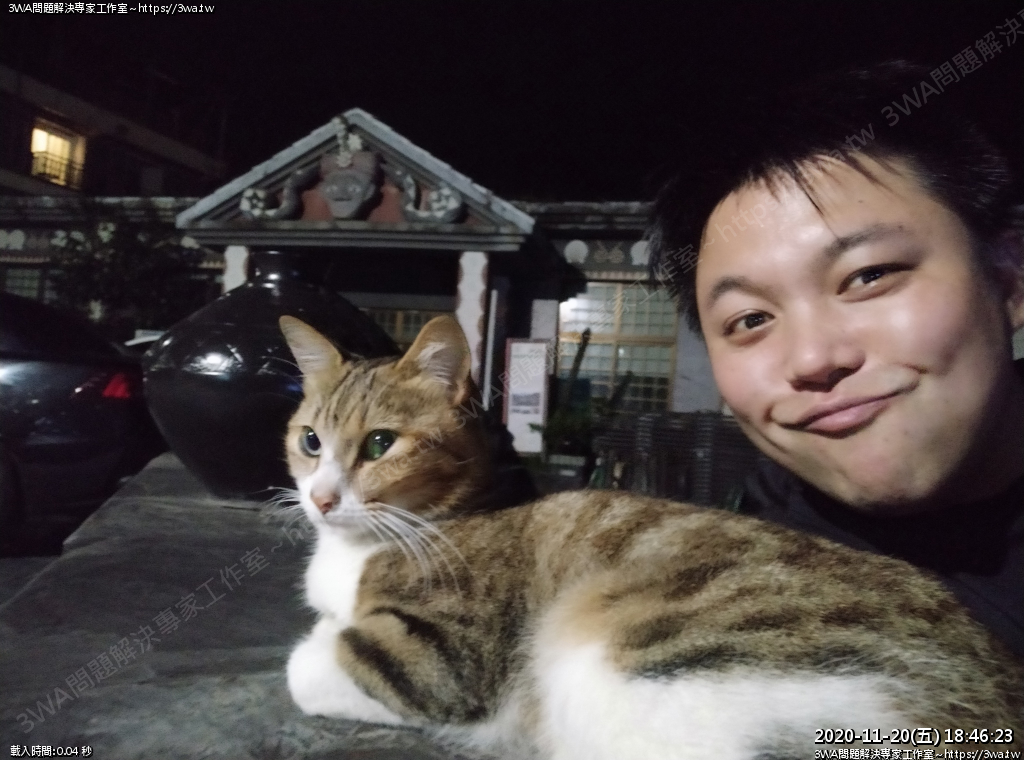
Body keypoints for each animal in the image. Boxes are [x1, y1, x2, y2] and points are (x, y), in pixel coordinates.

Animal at [279, 314, 1022, 760]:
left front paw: (319, 638)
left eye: (381, 444)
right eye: (310, 441)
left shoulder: (440, 656)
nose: (321, 498)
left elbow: (310, 662)